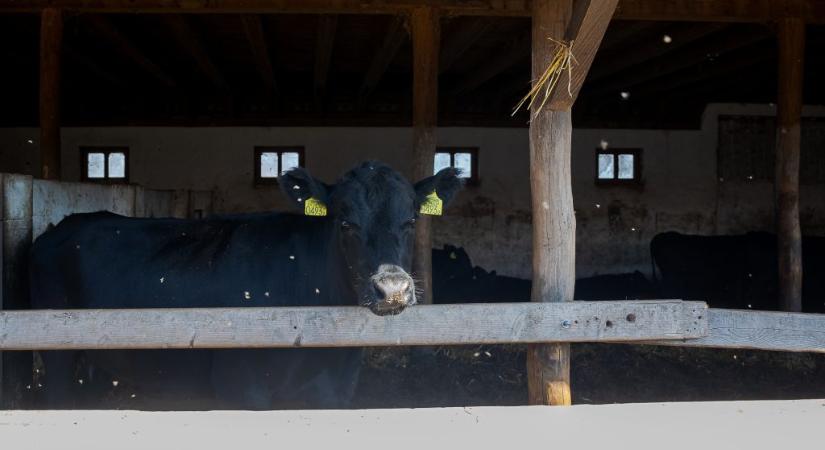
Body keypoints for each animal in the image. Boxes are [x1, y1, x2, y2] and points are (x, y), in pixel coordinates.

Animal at [29, 163, 464, 412]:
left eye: (411, 220)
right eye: (345, 222)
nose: (392, 288)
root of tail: (63, 225)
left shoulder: (335, 392)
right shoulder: (241, 386)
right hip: (56, 354)